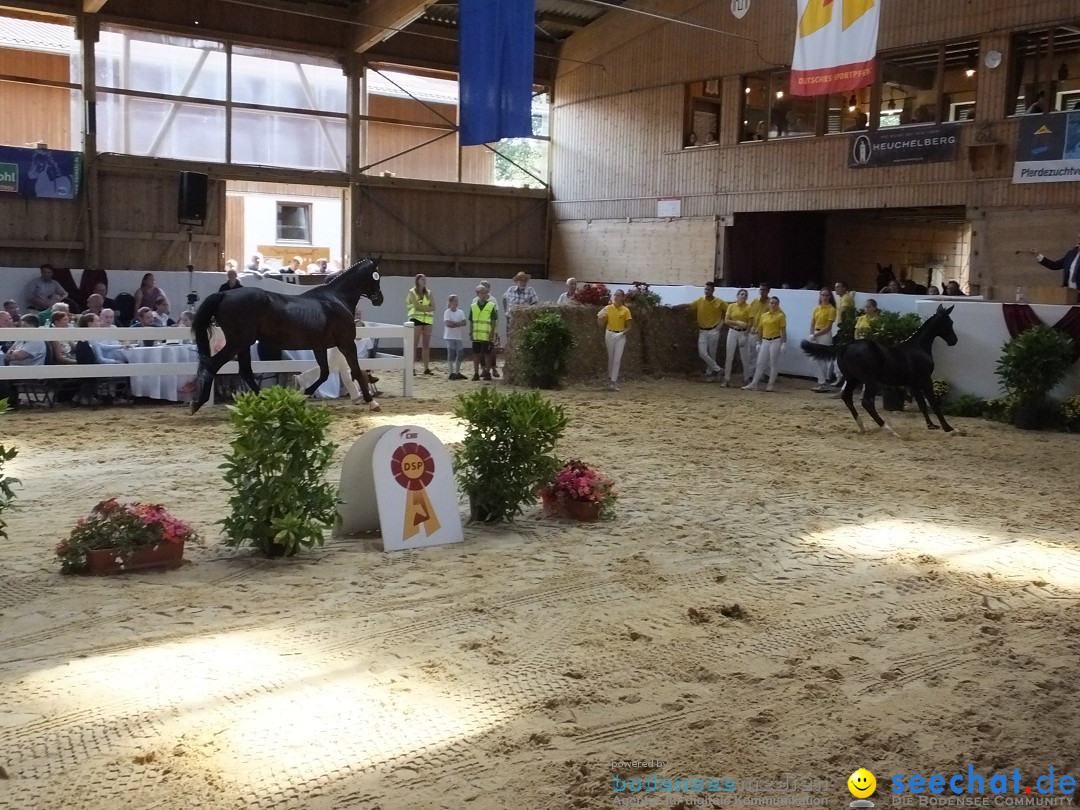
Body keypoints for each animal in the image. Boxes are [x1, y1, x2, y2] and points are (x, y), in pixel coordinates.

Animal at [191, 258, 384, 414]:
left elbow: (324, 373)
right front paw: (372, 402)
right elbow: (356, 371)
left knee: (245, 371)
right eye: (377, 276)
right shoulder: (346, 343)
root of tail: (224, 294)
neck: (336, 299)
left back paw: (264, 402)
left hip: (243, 344)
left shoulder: (319, 347)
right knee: (213, 365)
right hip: (237, 343)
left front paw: (302, 396)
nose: (379, 299)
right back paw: (198, 403)